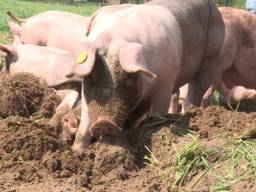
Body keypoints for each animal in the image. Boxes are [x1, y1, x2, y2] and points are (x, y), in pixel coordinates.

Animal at [67, 0, 225, 152]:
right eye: (92, 75)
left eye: (127, 77)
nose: (104, 122)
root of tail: (214, 7)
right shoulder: (87, 92)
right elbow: (86, 118)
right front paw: (77, 150)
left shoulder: (165, 86)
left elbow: (157, 115)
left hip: (211, 59)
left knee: (194, 92)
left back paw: (188, 114)